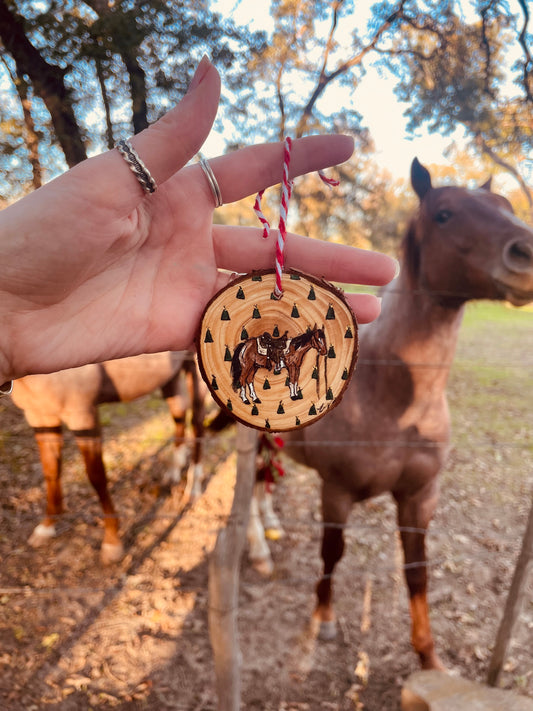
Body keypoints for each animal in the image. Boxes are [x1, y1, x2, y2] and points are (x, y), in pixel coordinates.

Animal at [13, 350, 204, 560]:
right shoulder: (40, 417)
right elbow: (51, 471)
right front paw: (47, 527)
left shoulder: (83, 417)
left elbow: (97, 477)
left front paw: (112, 542)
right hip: (171, 375)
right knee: (179, 414)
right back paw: (173, 471)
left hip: (195, 372)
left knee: (197, 422)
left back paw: (193, 489)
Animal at [278, 159, 532, 672]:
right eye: (444, 213)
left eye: (508, 207)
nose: (528, 253)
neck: (395, 399)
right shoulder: (335, 491)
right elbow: (332, 553)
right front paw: (324, 620)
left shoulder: (419, 497)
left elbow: (417, 571)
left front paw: (429, 658)